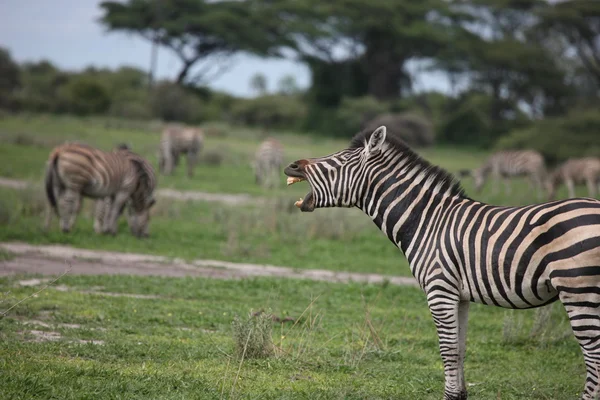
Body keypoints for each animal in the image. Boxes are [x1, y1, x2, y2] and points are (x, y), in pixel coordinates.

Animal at [284, 126, 600, 400]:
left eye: (338, 161)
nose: (292, 166)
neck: (427, 221)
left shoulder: (440, 290)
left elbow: (447, 350)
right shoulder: (460, 296)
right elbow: (460, 349)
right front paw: (459, 395)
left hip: (579, 290)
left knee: (593, 352)